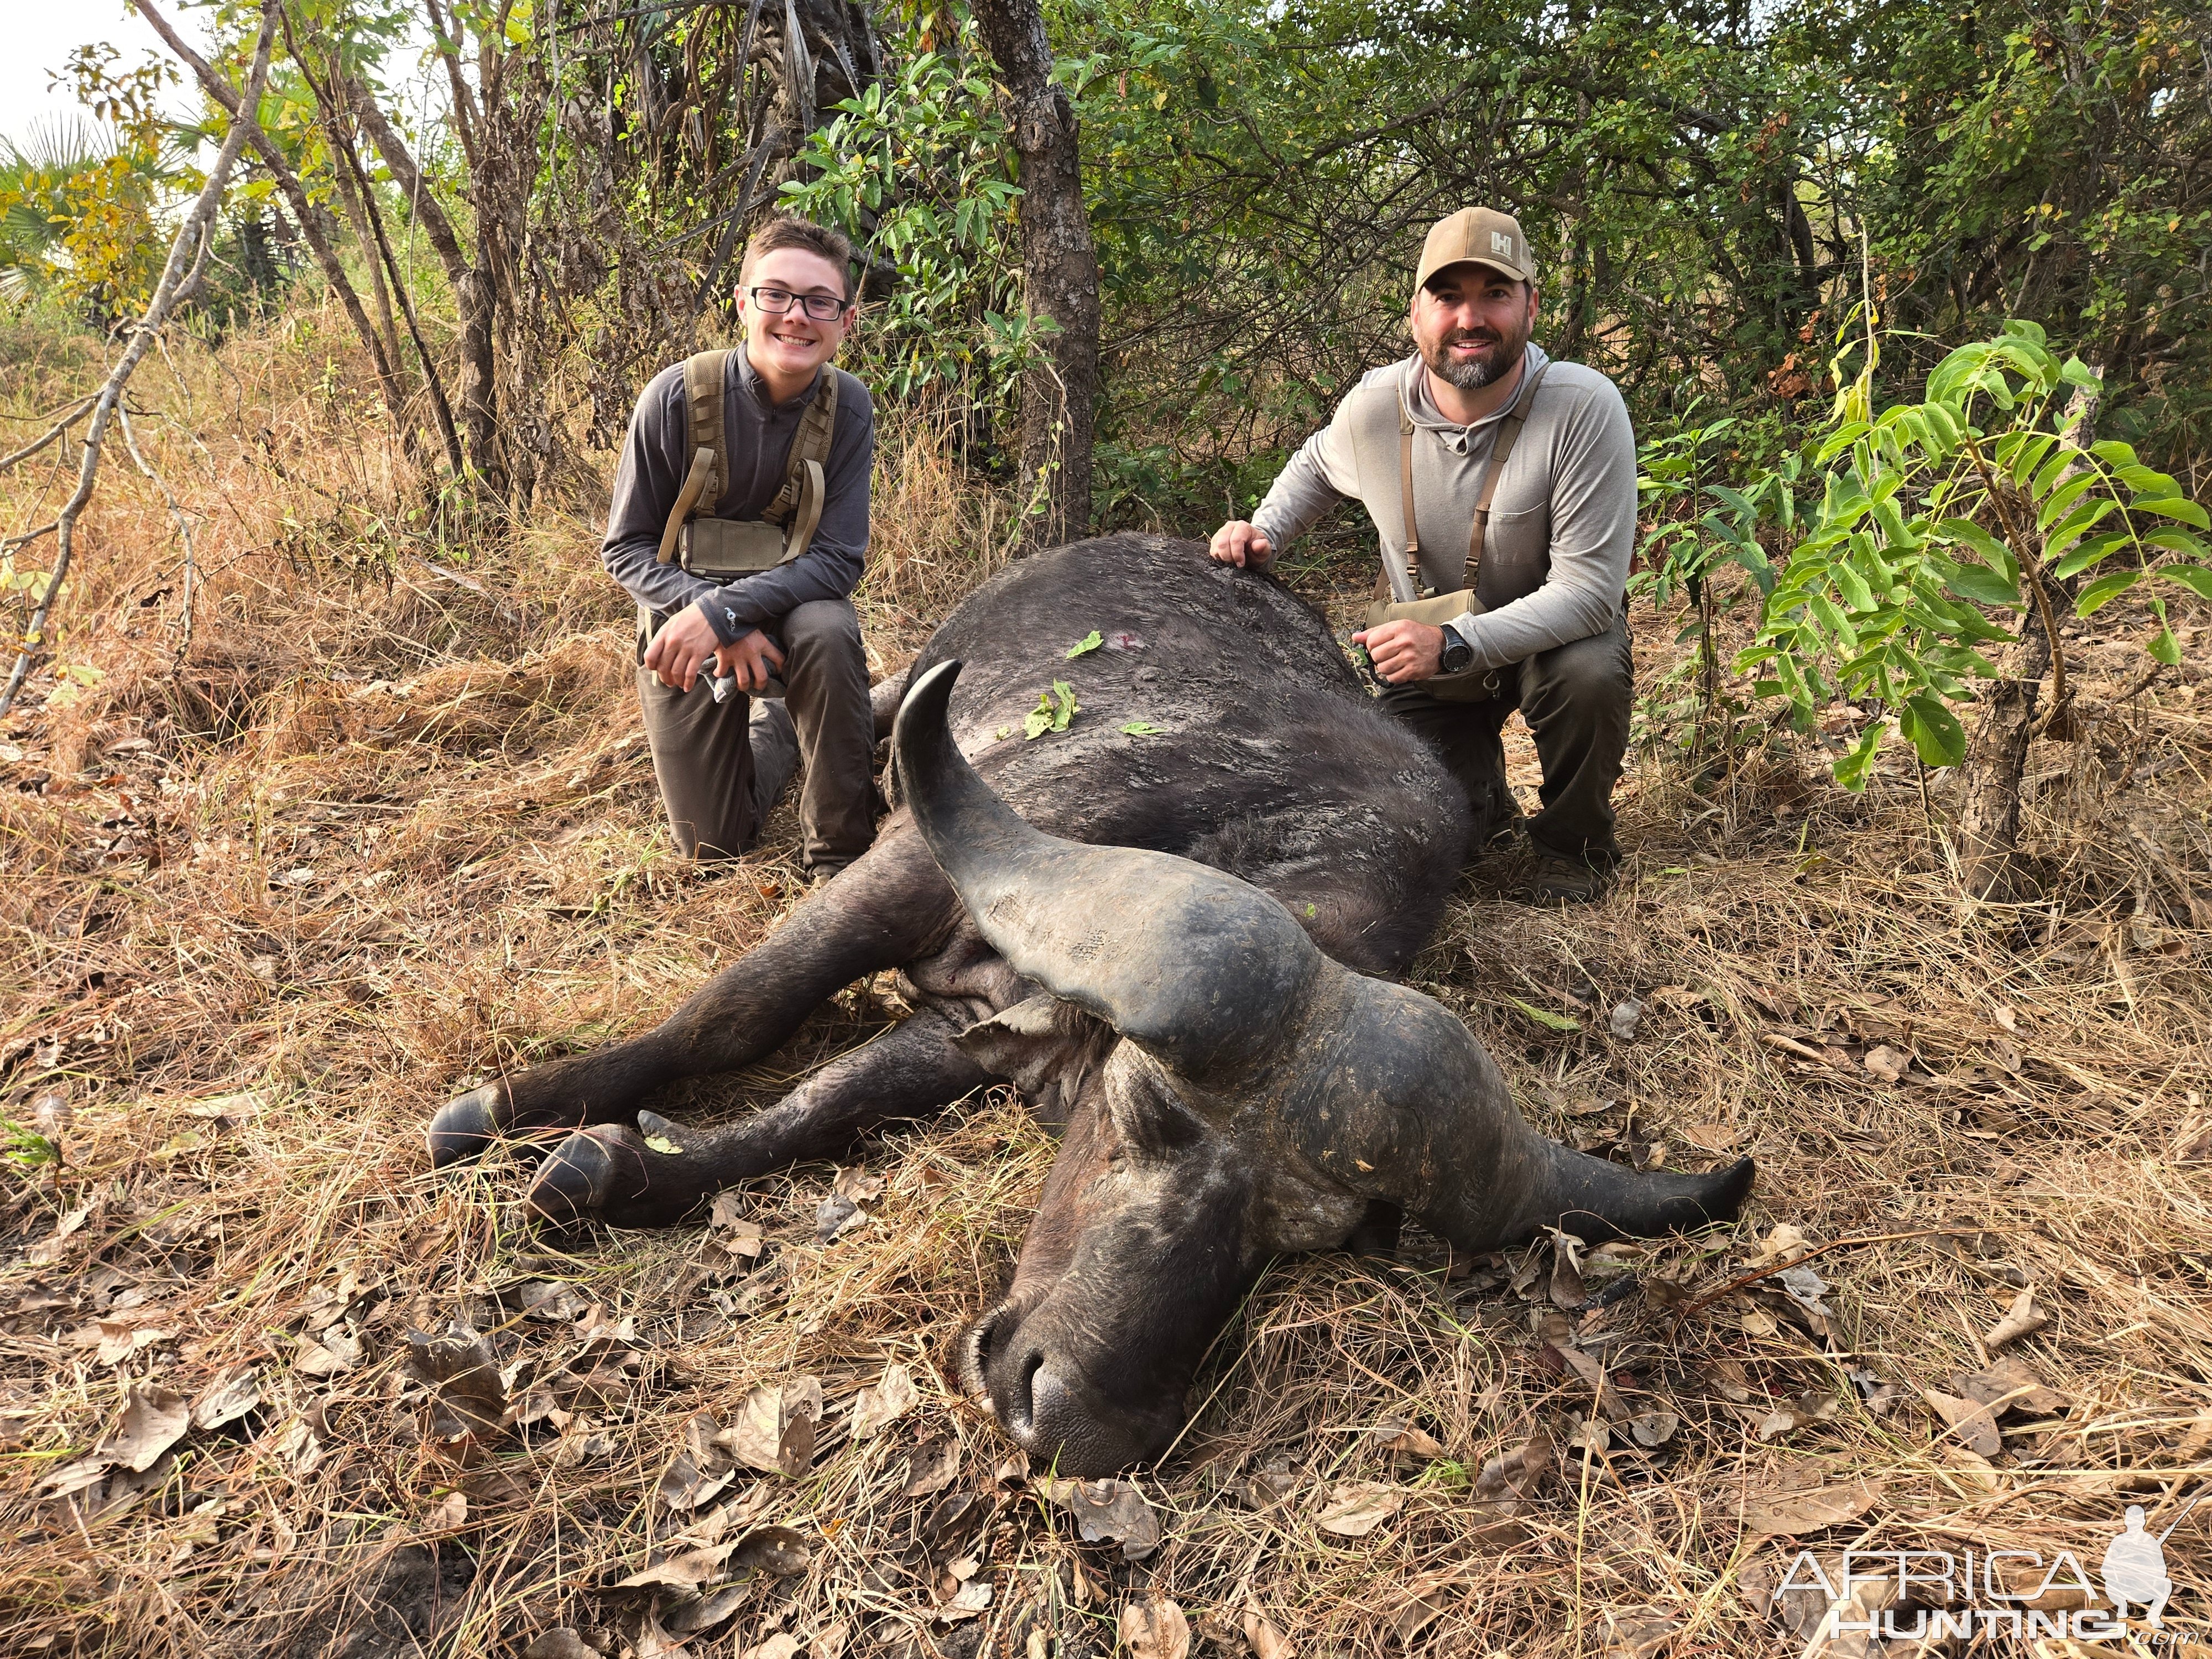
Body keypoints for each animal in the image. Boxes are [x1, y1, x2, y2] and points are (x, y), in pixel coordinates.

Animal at [427, 540, 1743, 1478]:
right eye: (1145, 1112)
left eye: (1301, 1239)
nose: (1068, 1422)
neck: (1255, 822)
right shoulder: (905, 878)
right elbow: (737, 1017)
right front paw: (513, 1111)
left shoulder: (973, 1029)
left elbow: (824, 1101)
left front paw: (627, 1171)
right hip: (895, 707)